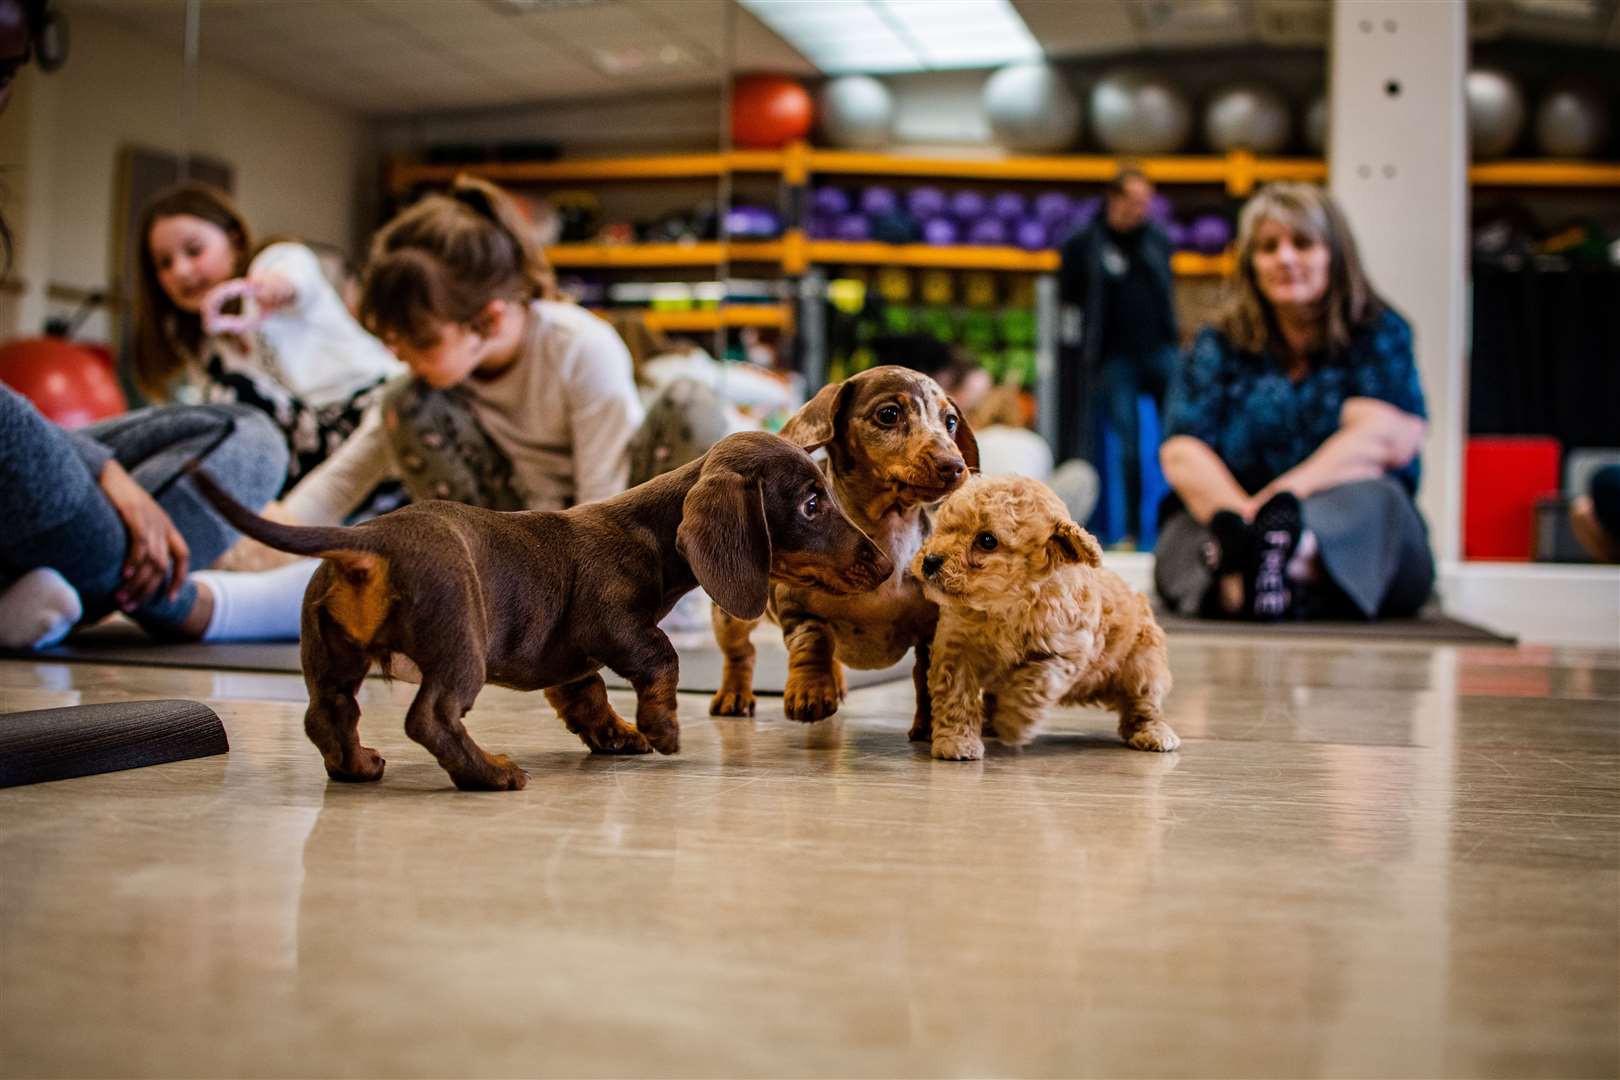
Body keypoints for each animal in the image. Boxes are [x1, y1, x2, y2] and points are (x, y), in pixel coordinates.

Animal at [199, 430, 900, 793]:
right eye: (811, 503)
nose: (887, 563)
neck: (646, 532)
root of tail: (370, 543)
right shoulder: (615, 625)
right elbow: (663, 659)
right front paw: (662, 729)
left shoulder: (573, 659)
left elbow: (586, 699)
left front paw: (619, 735)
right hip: (460, 645)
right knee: (430, 718)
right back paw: (489, 772)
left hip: (330, 654)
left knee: (328, 714)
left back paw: (355, 766)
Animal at [712, 367, 984, 738]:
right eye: (888, 414)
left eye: (951, 421)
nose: (955, 466)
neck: (887, 534)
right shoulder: (797, 609)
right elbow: (813, 642)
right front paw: (810, 693)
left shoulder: (933, 629)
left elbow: (928, 675)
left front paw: (931, 725)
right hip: (731, 613)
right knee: (741, 653)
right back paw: (733, 696)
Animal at [913, 472, 1179, 761]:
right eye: (944, 526)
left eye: (987, 540)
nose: (930, 560)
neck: (1003, 606)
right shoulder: (956, 649)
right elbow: (955, 694)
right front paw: (956, 742)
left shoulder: (1062, 650)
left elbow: (1033, 685)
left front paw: (1012, 724)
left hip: (1144, 665)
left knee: (1143, 704)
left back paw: (1154, 733)